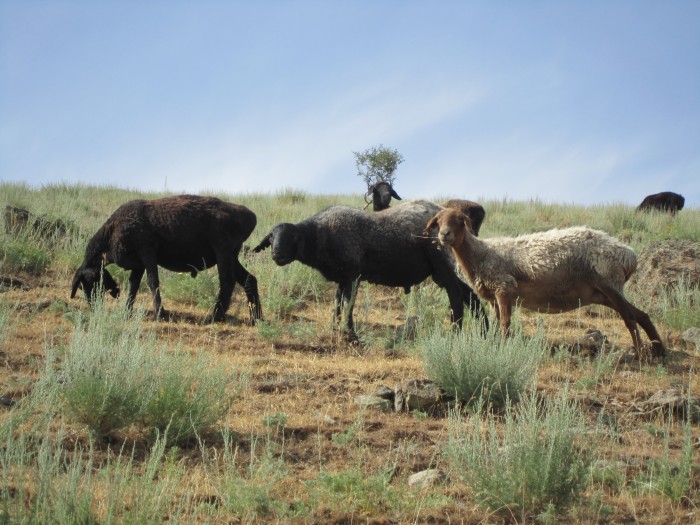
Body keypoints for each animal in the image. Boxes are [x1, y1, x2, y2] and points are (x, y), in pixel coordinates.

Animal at [72, 193, 262, 324]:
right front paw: (127, 312)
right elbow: (134, 285)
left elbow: (152, 281)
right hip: (232, 253)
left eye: (88, 283)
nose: (94, 307)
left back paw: (215, 316)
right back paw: (256, 318)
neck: (111, 233)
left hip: (223, 249)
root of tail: (249, 216)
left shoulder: (147, 251)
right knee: (249, 279)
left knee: (227, 281)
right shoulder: (138, 262)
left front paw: (160, 314)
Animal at [252, 198, 486, 340]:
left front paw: (350, 333)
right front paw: (336, 328)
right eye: (271, 238)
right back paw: (484, 330)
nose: (277, 254)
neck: (322, 233)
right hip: (438, 271)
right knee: (469, 294)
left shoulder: (353, 275)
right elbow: (337, 304)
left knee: (455, 295)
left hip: (442, 265)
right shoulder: (342, 278)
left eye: (292, 237)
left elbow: (348, 304)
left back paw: (456, 331)